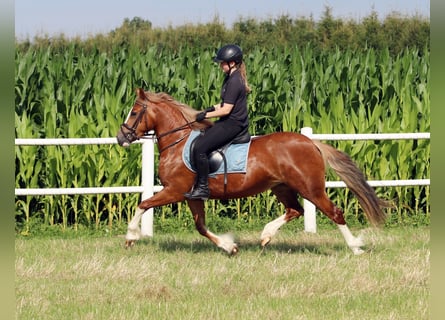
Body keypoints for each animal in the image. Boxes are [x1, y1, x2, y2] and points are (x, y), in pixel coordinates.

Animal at [116, 87, 386, 255]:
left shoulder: (174, 190)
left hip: (311, 188)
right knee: (295, 210)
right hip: (282, 187)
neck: (178, 142)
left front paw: (130, 237)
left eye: (134, 112)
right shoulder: (192, 196)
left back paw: (356, 247)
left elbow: (143, 204)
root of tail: (310, 142)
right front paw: (229, 247)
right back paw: (266, 235)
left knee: (334, 213)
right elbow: (201, 226)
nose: (121, 138)